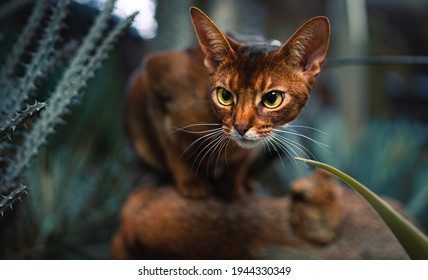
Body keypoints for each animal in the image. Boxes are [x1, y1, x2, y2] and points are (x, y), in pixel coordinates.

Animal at [125, 7, 330, 198]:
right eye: (225, 95)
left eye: (272, 98)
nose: (241, 127)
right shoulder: (154, 76)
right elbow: (173, 149)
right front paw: (191, 183)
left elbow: (242, 159)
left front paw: (231, 186)